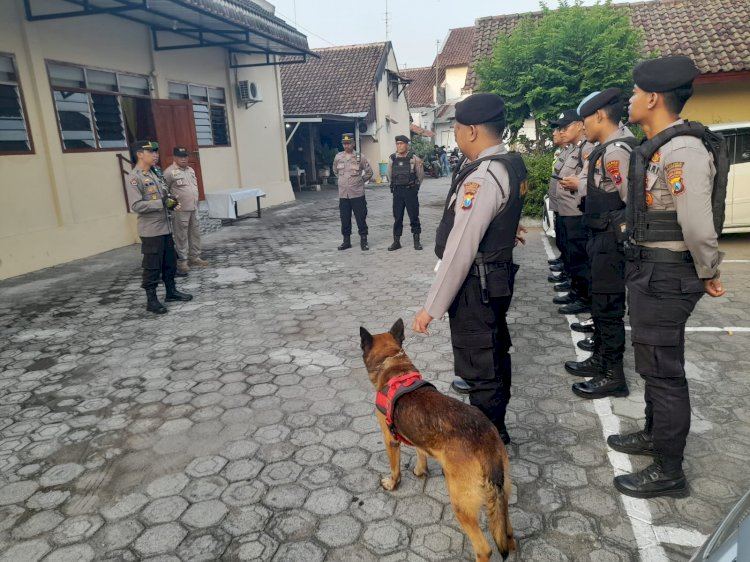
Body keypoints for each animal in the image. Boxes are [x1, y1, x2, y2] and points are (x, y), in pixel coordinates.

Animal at [360, 318, 516, 556]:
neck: (394, 366)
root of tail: (485, 443)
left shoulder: (390, 440)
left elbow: (395, 469)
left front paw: (392, 483)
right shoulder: (418, 438)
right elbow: (420, 452)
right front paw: (420, 470)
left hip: (460, 504)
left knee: (484, 549)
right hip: (503, 496)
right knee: (509, 535)